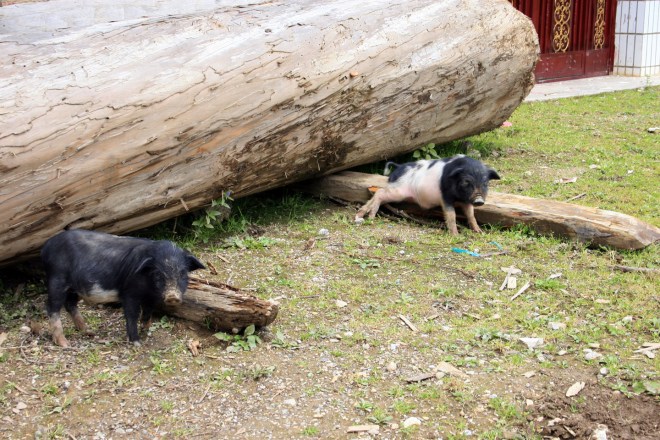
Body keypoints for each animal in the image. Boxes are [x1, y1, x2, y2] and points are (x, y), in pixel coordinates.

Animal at [41, 229, 205, 347]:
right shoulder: (129, 293)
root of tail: (46, 247)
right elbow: (132, 314)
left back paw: (88, 331)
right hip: (57, 279)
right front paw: (137, 343)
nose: (172, 296)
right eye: (158, 274)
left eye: (182, 273)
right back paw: (65, 344)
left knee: (70, 304)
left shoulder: (150, 297)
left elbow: (148, 311)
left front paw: (146, 328)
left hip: (74, 288)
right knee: (52, 307)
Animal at [355, 155, 500, 234]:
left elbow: (471, 215)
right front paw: (455, 235)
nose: (479, 200)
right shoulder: (445, 196)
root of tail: (399, 167)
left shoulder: (467, 200)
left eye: (485, 182)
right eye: (466, 182)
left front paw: (480, 232)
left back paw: (362, 215)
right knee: (380, 192)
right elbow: (451, 215)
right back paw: (369, 217)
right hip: (399, 190)